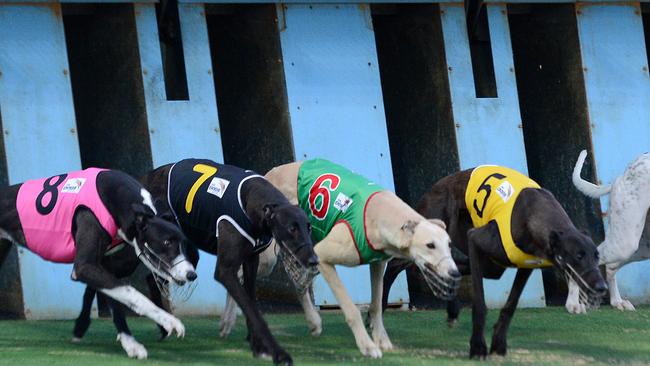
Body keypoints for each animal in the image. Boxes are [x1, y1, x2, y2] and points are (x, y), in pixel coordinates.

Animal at [0, 168, 195, 358]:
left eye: (185, 244)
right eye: (167, 243)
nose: (191, 274)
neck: (117, 198)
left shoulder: (105, 266)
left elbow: (117, 301)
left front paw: (131, 344)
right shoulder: (84, 267)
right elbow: (132, 292)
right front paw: (168, 320)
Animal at [382, 167, 604, 358]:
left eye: (596, 256)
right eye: (578, 256)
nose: (602, 287)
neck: (535, 212)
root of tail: (437, 184)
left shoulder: (526, 265)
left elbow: (510, 306)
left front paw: (498, 343)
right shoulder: (475, 239)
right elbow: (480, 304)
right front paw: (478, 347)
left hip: (487, 261)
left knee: (442, 268)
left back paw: (451, 308)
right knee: (395, 266)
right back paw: (380, 311)